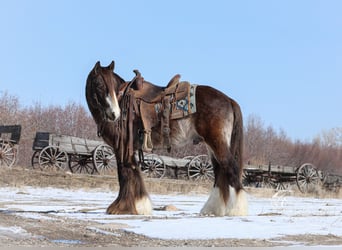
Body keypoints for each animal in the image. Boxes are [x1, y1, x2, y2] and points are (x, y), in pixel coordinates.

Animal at [84, 61, 247, 217]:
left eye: (113, 86)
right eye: (99, 84)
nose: (114, 114)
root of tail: (228, 100)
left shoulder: (122, 147)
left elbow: (125, 172)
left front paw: (121, 208)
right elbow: (133, 171)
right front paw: (138, 206)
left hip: (217, 142)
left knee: (230, 169)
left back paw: (236, 210)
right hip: (212, 145)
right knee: (220, 172)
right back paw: (213, 209)